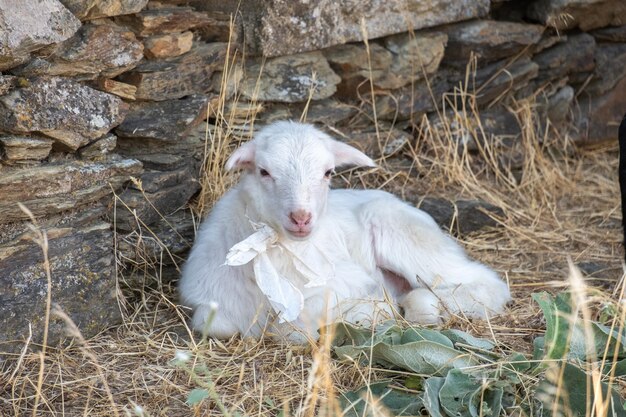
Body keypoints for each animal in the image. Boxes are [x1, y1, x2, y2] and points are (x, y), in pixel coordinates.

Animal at [178, 121, 510, 342]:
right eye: (264, 171)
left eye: (328, 173)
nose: (301, 218)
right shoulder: (210, 301)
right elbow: (216, 325)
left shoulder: (349, 282)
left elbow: (296, 326)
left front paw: (372, 311)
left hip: (405, 237)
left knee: (485, 283)